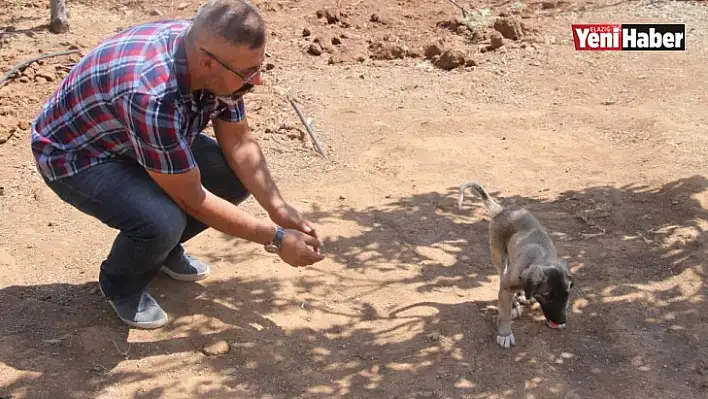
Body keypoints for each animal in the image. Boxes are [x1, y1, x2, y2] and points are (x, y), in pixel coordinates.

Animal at [460, 181, 576, 350]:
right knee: (502, 275)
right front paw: (505, 333)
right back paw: (515, 303)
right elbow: (505, 313)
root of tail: (502, 210)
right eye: (547, 295)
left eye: (567, 294)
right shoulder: (506, 286)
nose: (561, 320)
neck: (542, 258)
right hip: (499, 257)